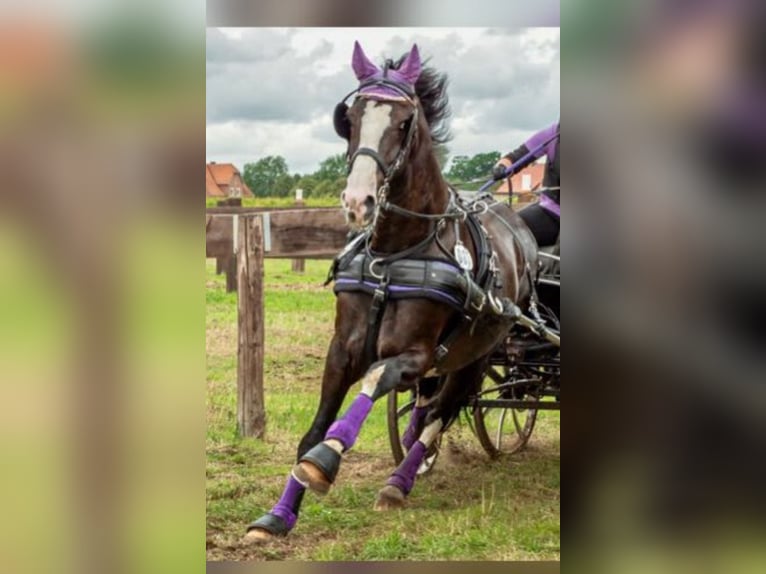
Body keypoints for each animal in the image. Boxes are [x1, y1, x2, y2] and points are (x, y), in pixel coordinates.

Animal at [244, 41, 539, 542]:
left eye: (404, 123)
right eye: (351, 117)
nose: (357, 202)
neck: (392, 253)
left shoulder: (414, 354)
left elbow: (371, 382)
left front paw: (324, 463)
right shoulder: (342, 347)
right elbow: (315, 428)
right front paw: (279, 514)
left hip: (477, 354)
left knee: (442, 411)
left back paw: (399, 482)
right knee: (427, 406)